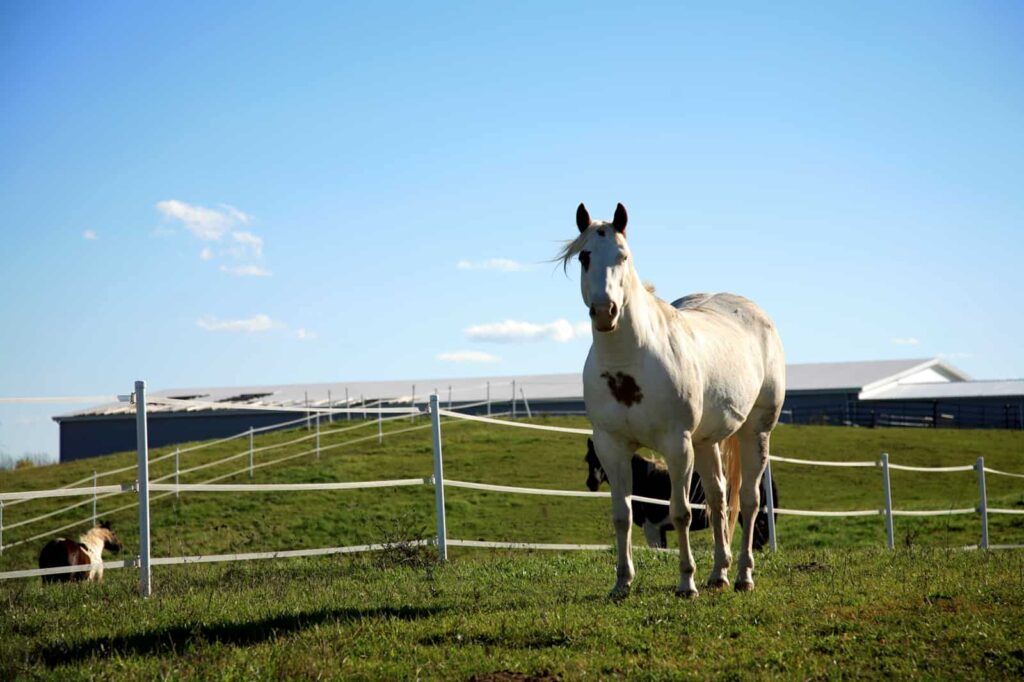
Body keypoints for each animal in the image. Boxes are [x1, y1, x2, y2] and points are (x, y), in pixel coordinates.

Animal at [561, 201, 782, 593]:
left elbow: (680, 513)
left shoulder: (677, 444)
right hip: (707, 442)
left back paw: (743, 576)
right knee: (718, 498)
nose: (605, 312)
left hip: (755, 432)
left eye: (623, 256)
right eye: (585, 257)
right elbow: (622, 515)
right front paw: (622, 583)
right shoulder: (611, 445)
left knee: (751, 502)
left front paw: (685, 583)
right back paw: (719, 573)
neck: (628, 363)